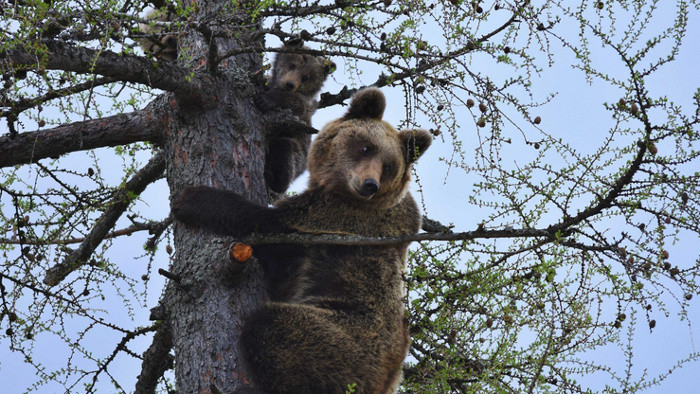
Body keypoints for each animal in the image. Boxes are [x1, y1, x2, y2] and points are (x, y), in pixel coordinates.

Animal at [172, 87, 430, 392]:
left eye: (389, 166)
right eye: (367, 147)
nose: (370, 184)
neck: (335, 188)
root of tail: (388, 378)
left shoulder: (339, 219)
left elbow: (266, 222)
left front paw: (192, 199)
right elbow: (279, 177)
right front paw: (277, 117)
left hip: (350, 335)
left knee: (275, 327)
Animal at [258, 42, 336, 194]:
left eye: (305, 77)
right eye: (292, 65)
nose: (289, 84)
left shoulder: (302, 109)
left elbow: (295, 104)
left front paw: (266, 100)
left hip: (297, 152)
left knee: (284, 149)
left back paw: (274, 178)